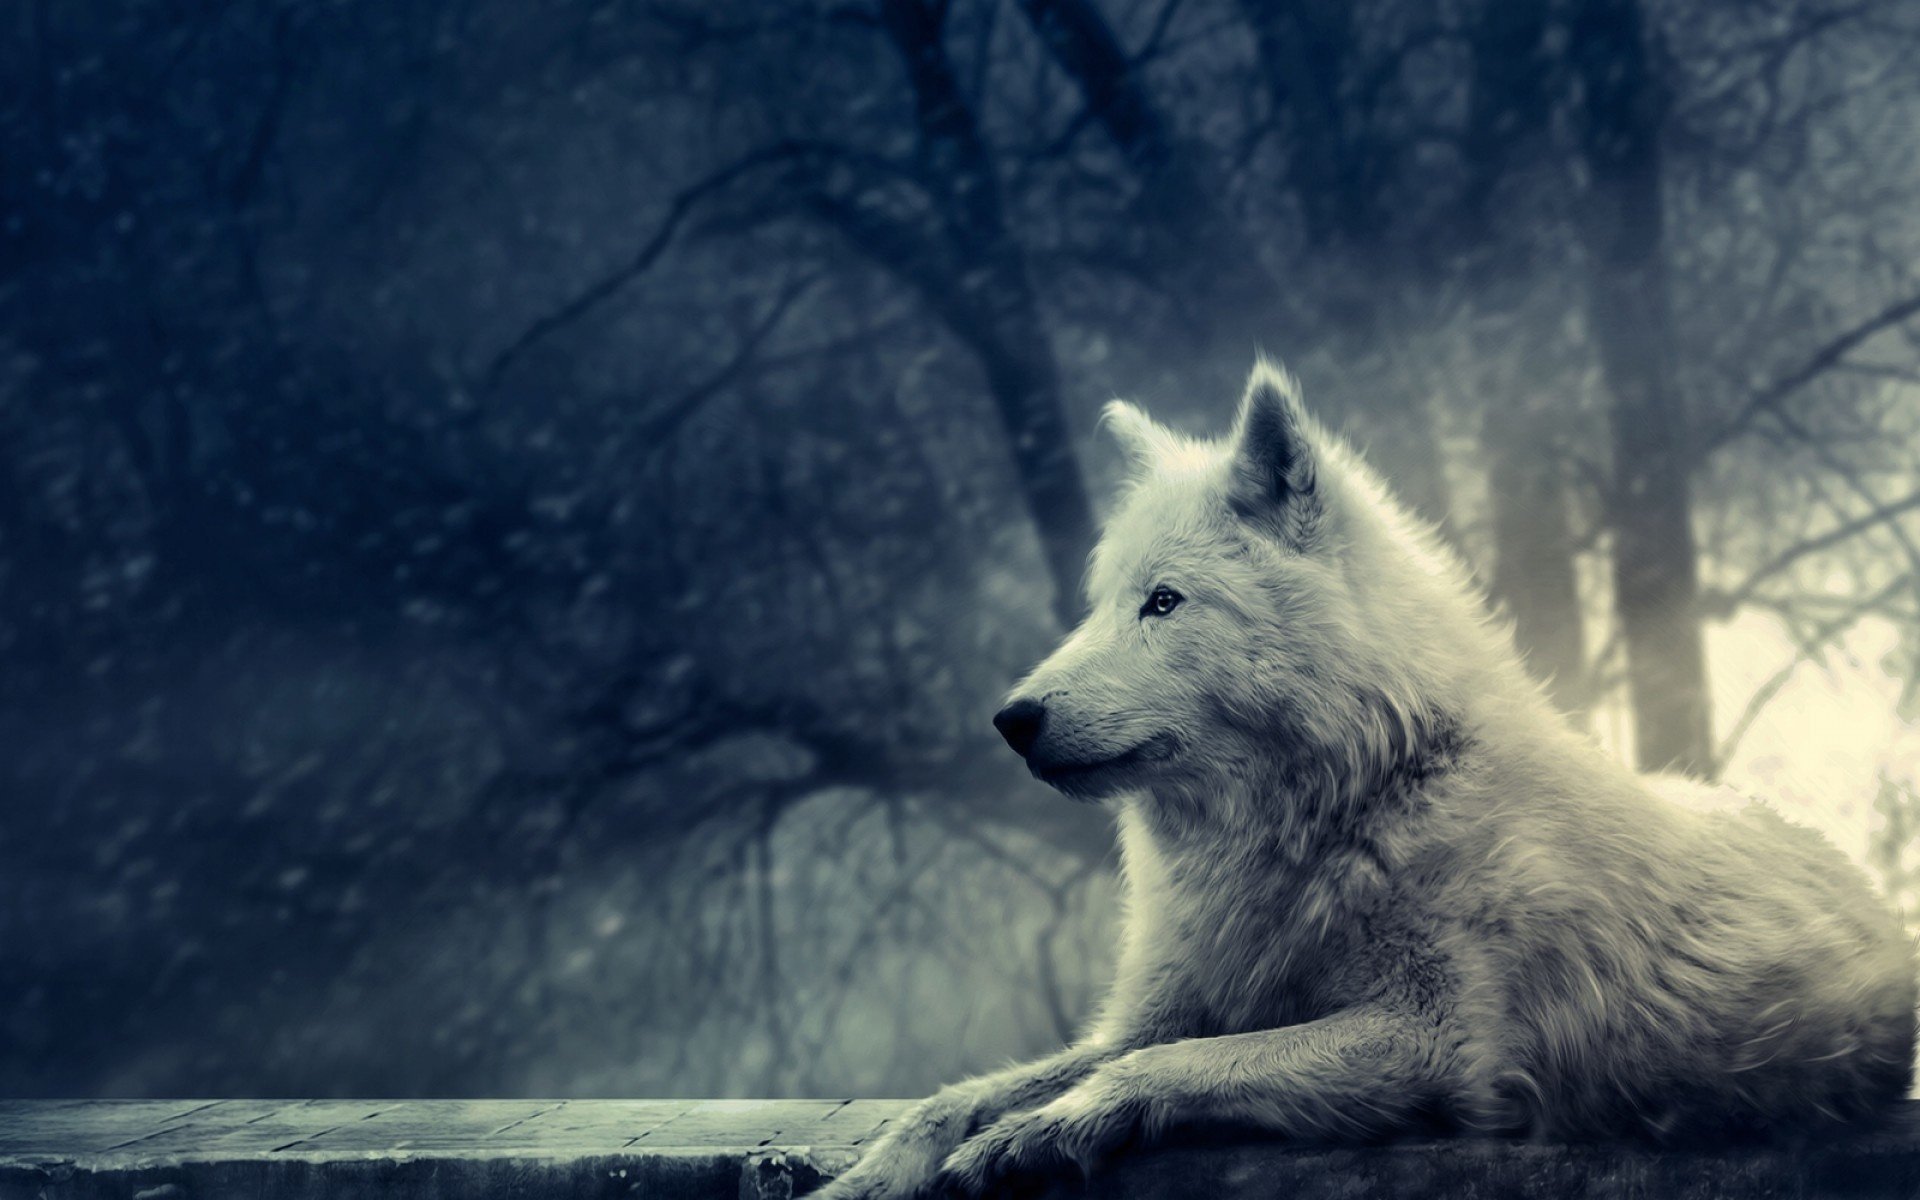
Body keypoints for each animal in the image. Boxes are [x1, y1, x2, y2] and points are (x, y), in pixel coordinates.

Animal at [817, 362, 1916, 1199]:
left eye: (1164, 603)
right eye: (1099, 606)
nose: (1013, 720)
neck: (1351, 804)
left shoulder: (1439, 1046)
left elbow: (1160, 1066)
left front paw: (1037, 1134)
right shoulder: (1170, 1006)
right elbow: (962, 1094)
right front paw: (876, 1172)